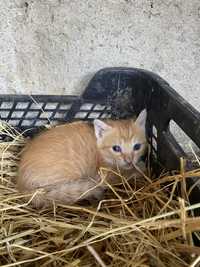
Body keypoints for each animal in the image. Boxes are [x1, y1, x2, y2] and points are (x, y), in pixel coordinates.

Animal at [17, 110, 148, 208]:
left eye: (137, 147)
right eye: (116, 148)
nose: (129, 160)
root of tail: (21, 185)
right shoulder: (104, 176)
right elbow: (124, 175)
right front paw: (140, 169)